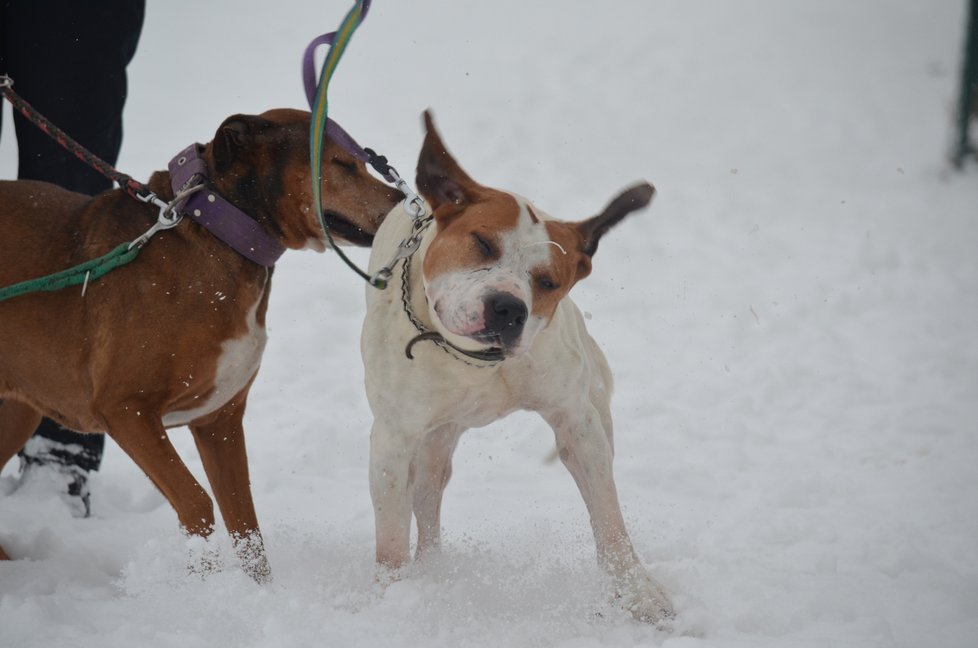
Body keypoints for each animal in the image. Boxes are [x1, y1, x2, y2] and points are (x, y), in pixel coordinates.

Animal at [0, 109, 400, 580]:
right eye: (342, 164)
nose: (403, 201)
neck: (217, 232)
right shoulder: (126, 410)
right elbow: (196, 502)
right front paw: (204, 582)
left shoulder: (219, 421)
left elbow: (245, 522)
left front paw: (257, 591)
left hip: (18, 410)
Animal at [358, 111, 672, 624]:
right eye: (482, 243)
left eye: (548, 281)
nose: (507, 308)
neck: (475, 363)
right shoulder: (394, 440)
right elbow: (390, 536)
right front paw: (389, 597)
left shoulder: (578, 422)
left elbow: (607, 513)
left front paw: (635, 590)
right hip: (432, 439)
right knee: (425, 498)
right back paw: (428, 576)